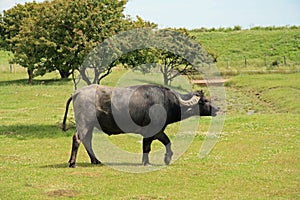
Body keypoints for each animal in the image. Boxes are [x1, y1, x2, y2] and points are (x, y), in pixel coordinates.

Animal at [62, 83, 219, 168]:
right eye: (204, 100)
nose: (217, 108)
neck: (166, 101)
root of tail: (77, 92)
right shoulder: (153, 131)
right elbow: (157, 144)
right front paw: (160, 160)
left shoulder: (154, 132)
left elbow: (150, 146)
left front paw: (149, 161)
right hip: (84, 124)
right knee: (77, 139)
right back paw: (73, 163)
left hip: (90, 126)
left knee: (87, 141)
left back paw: (96, 161)